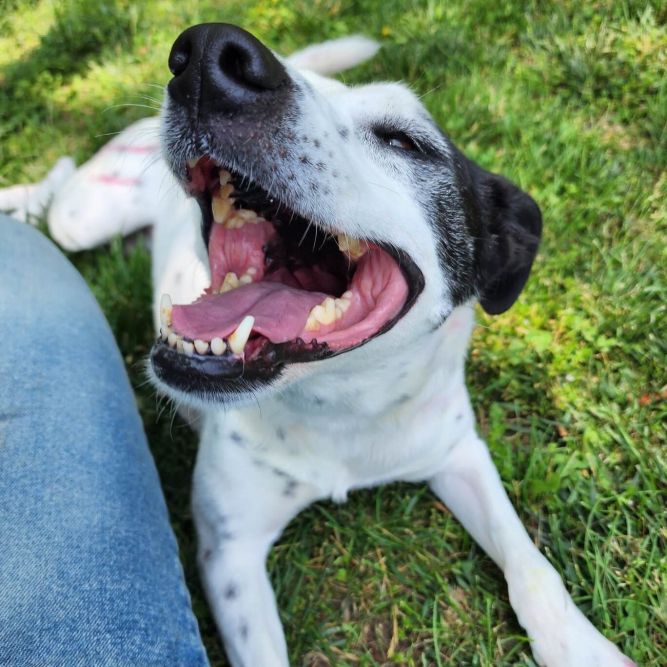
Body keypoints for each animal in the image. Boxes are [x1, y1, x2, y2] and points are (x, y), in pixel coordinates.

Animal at [1, 23, 636, 664]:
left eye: (405, 142)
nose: (208, 55)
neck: (340, 404)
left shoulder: (460, 454)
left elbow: (532, 568)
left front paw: (583, 647)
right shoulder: (232, 552)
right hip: (84, 218)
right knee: (56, 196)